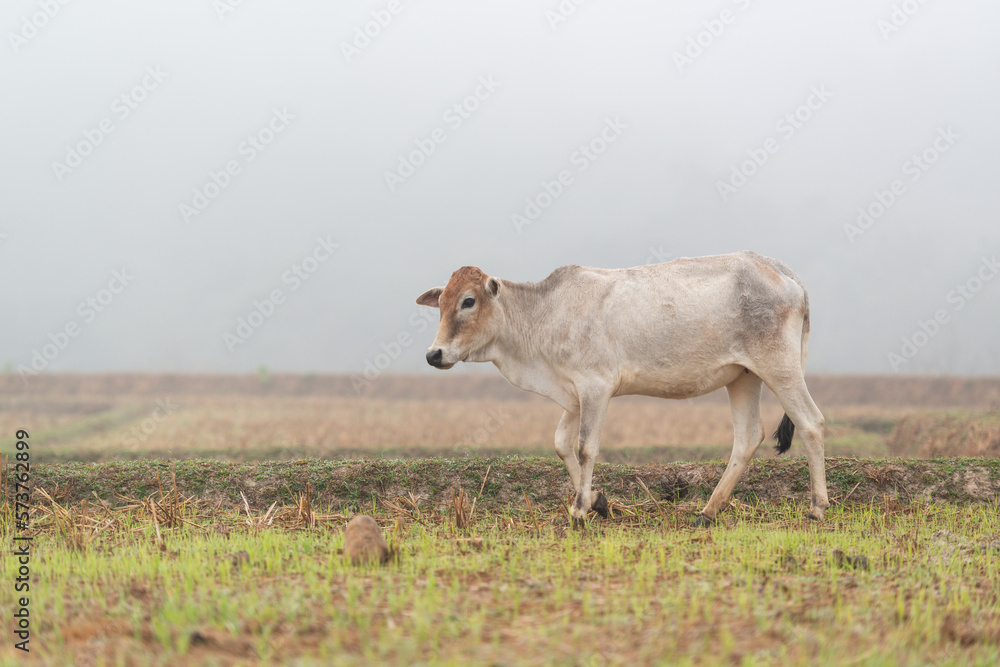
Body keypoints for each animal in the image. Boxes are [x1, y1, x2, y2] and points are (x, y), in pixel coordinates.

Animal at [415, 251, 829, 526]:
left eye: (468, 302)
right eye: (441, 305)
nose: (434, 354)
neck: (543, 315)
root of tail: (778, 269)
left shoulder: (595, 388)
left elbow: (585, 448)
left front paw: (579, 510)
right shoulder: (573, 395)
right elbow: (561, 444)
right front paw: (597, 500)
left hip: (780, 368)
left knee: (811, 423)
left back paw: (817, 506)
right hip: (743, 377)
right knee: (747, 437)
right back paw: (708, 511)